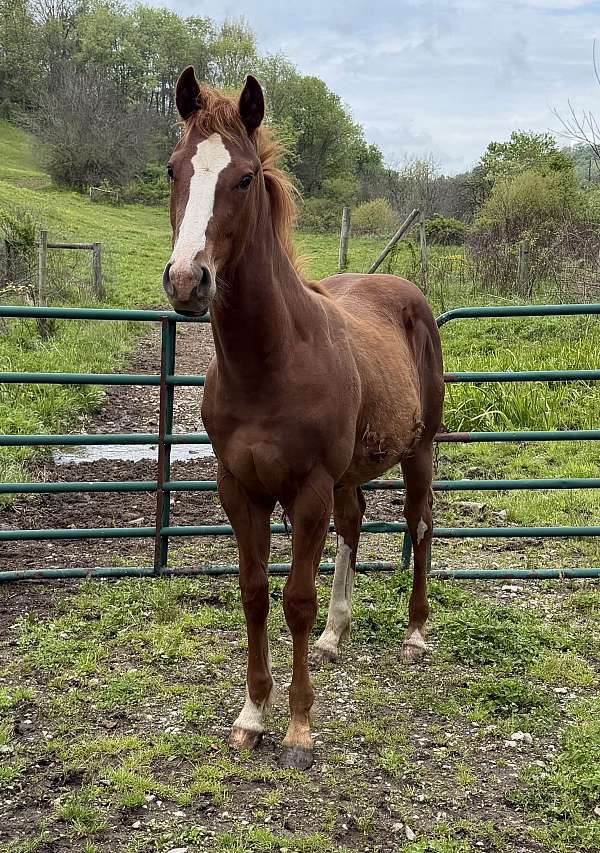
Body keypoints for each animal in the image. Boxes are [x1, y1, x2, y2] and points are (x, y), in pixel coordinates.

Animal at [163, 67, 445, 771]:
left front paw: (297, 727)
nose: (186, 280)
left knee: (420, 524)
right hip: (349, 476)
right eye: (175, 168)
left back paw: (415, 635)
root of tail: (408, 293)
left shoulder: (308, 490)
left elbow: (295, 599)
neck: (272, 362)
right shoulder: (241, 489)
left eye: (243, 178)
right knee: (355, 523)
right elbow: (254, 593)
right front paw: (251, 715)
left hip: (419, 451)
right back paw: (334, 638)